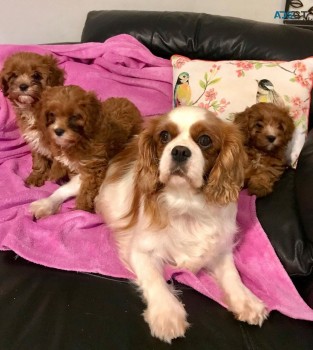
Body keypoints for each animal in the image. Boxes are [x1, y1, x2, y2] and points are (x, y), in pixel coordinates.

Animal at [0, 51, 66, 186]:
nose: (23, 86)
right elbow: (39, 160)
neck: (33, 109)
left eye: (36, 75)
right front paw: (37, 176)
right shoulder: (35, 140)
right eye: (14, 75)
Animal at [29, 85, 141, 216]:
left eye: (74, 117)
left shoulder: (92, 169)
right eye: (52, 114)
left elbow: (87, 190)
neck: (78, 139)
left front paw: (82, 209)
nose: (58, 131)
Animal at [94, 106, 266, 342]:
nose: (180, 151)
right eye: (164, 136)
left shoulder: (220, 249)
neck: (185, 201)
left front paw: (246, 300)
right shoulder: (140, 251)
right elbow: (155, 279)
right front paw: (167, 313)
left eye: (205, 140)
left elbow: (233, 274)